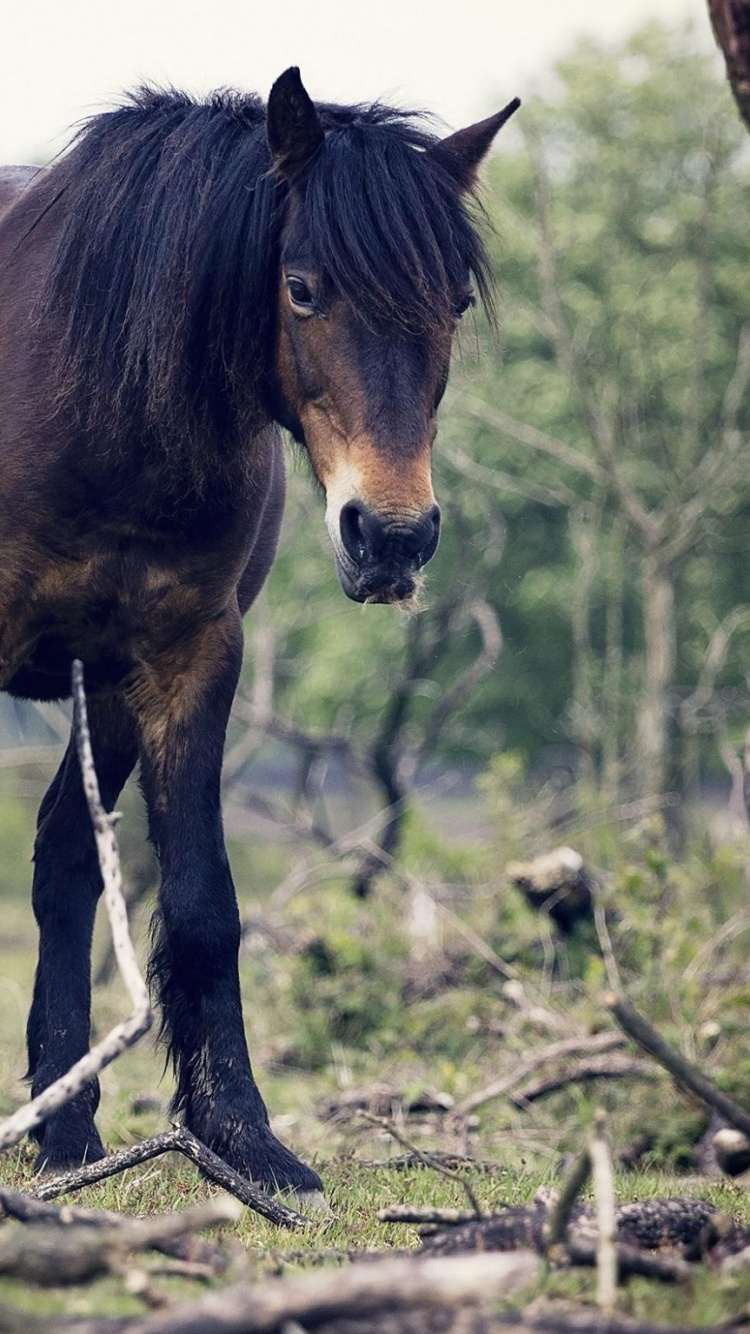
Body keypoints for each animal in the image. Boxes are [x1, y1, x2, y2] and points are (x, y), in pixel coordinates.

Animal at [0, 67, 519, 1198]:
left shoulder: (184, 658)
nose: (392, 535)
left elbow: (202, 905)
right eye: (303, 287)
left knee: (65, 860)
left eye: (454, 302)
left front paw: (243, 1138)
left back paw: (64, 1125)